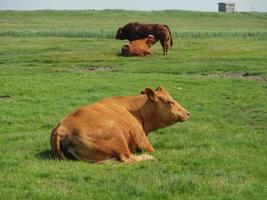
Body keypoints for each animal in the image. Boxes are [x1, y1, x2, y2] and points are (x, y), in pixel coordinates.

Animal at [51, 86, 191, 163]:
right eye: (169, 102)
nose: (187, 113)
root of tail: (62, 128)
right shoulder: (143, 141)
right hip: (118, 138)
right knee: (127, 159)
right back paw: (148, 158)